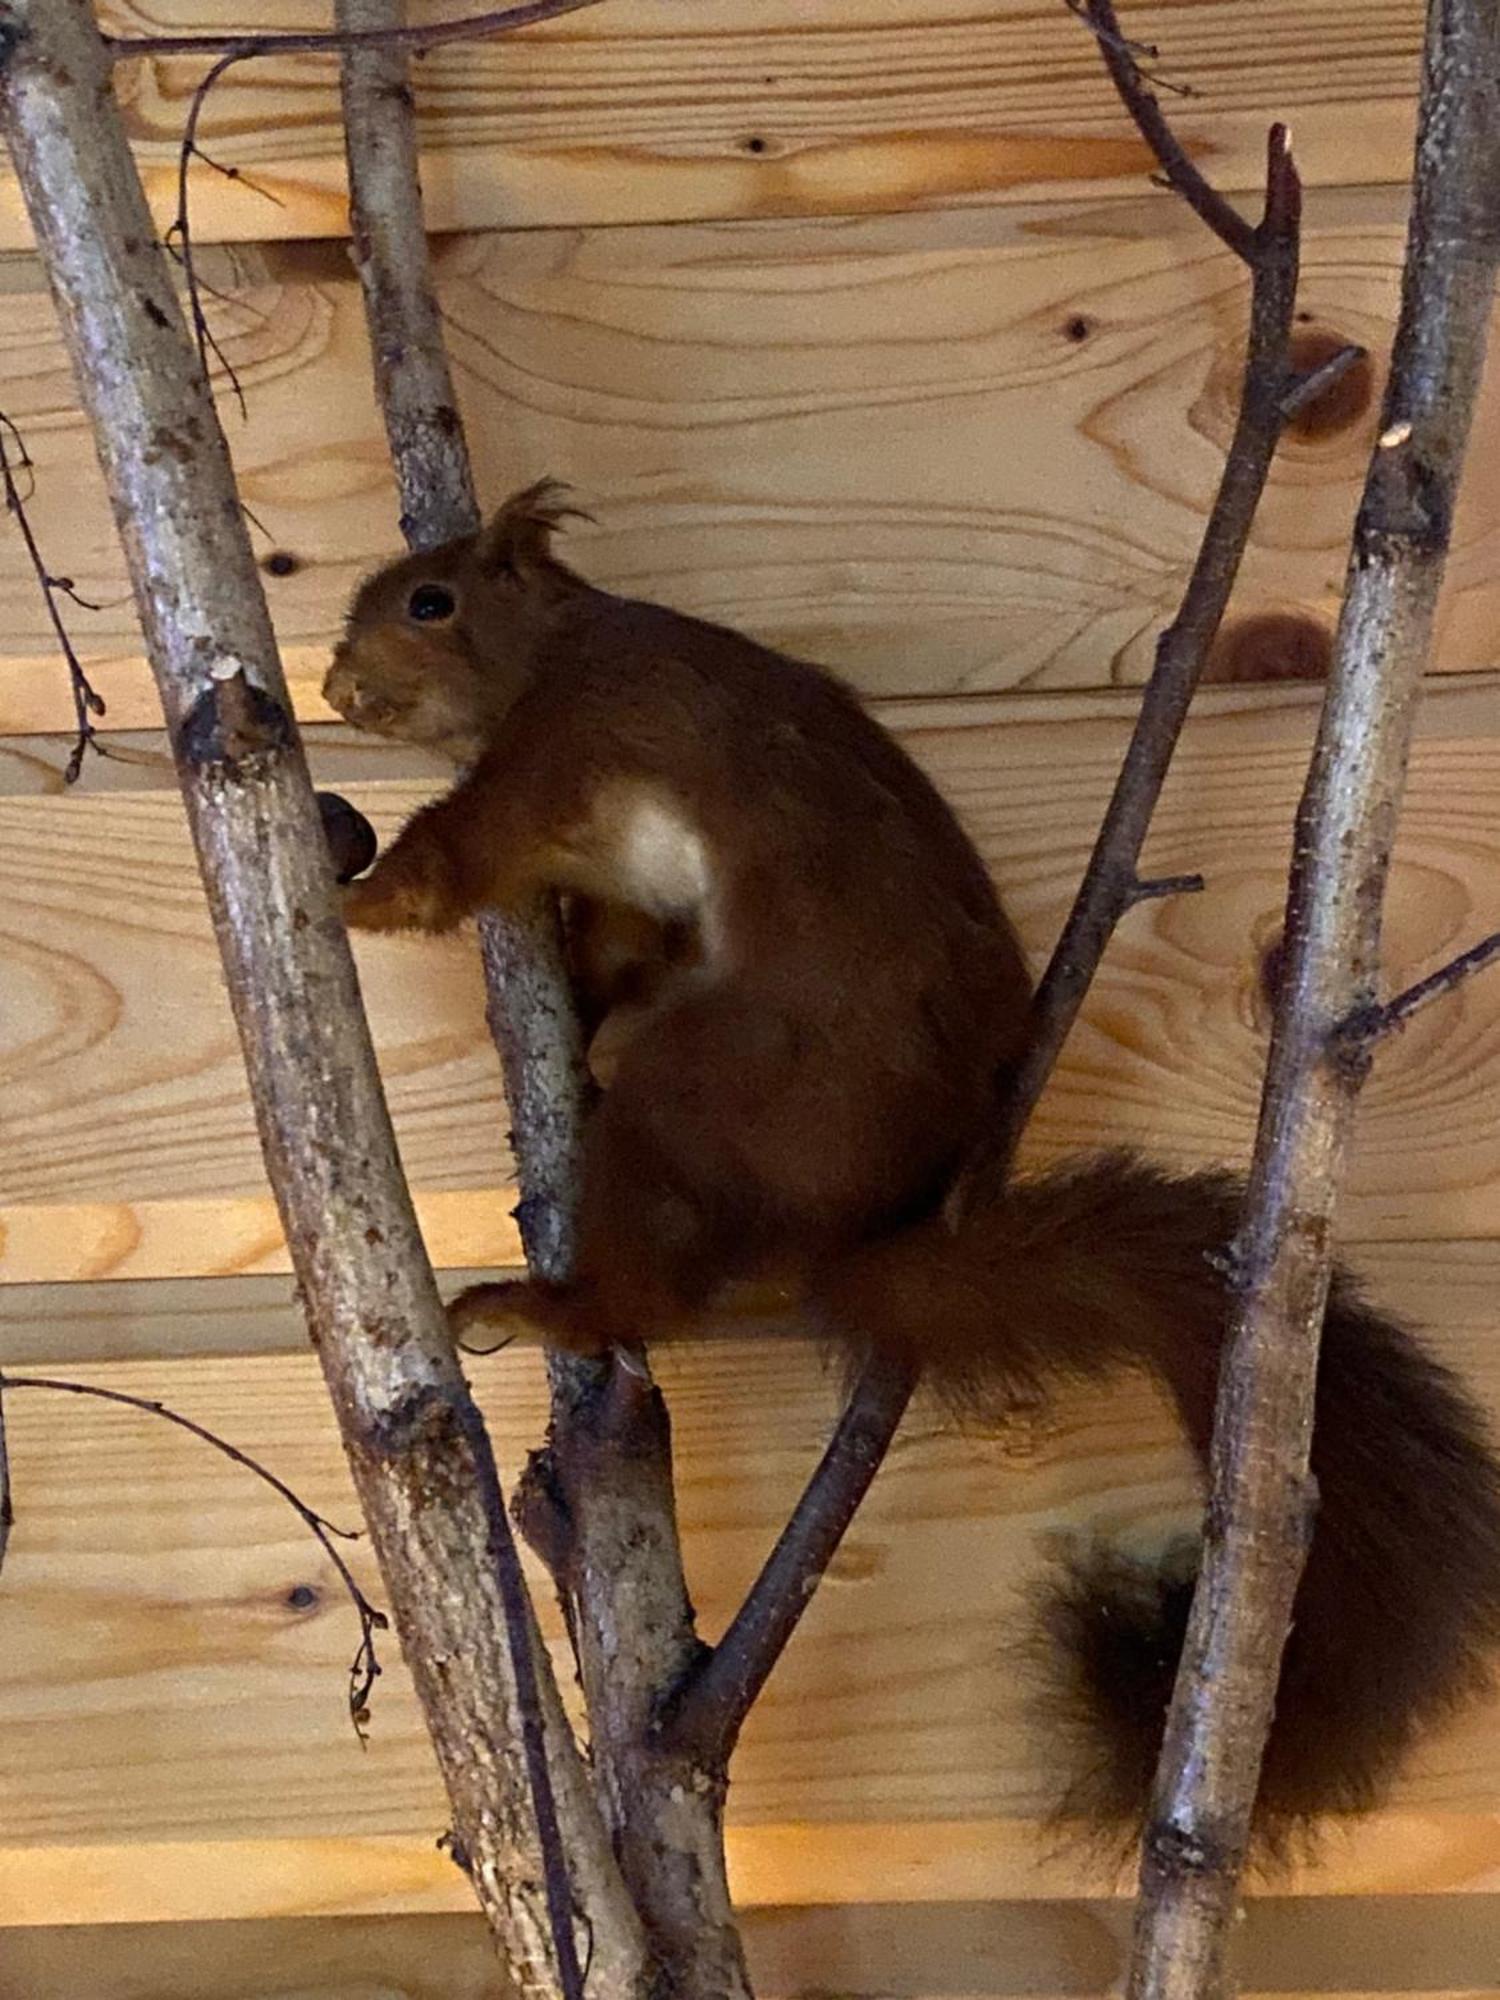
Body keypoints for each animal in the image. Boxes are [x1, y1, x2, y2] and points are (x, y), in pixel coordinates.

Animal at [326, 484, 1500, 1856]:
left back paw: (551, 1301)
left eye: (431, 600)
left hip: (732, 1080)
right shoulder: (614, 874)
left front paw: (341, 891)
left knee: (654, 1279)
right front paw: (557, 986)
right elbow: (614, 942)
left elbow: (457, 856)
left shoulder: (572, 739)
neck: (560, 639)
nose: (335, 684)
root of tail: (848, 1232)